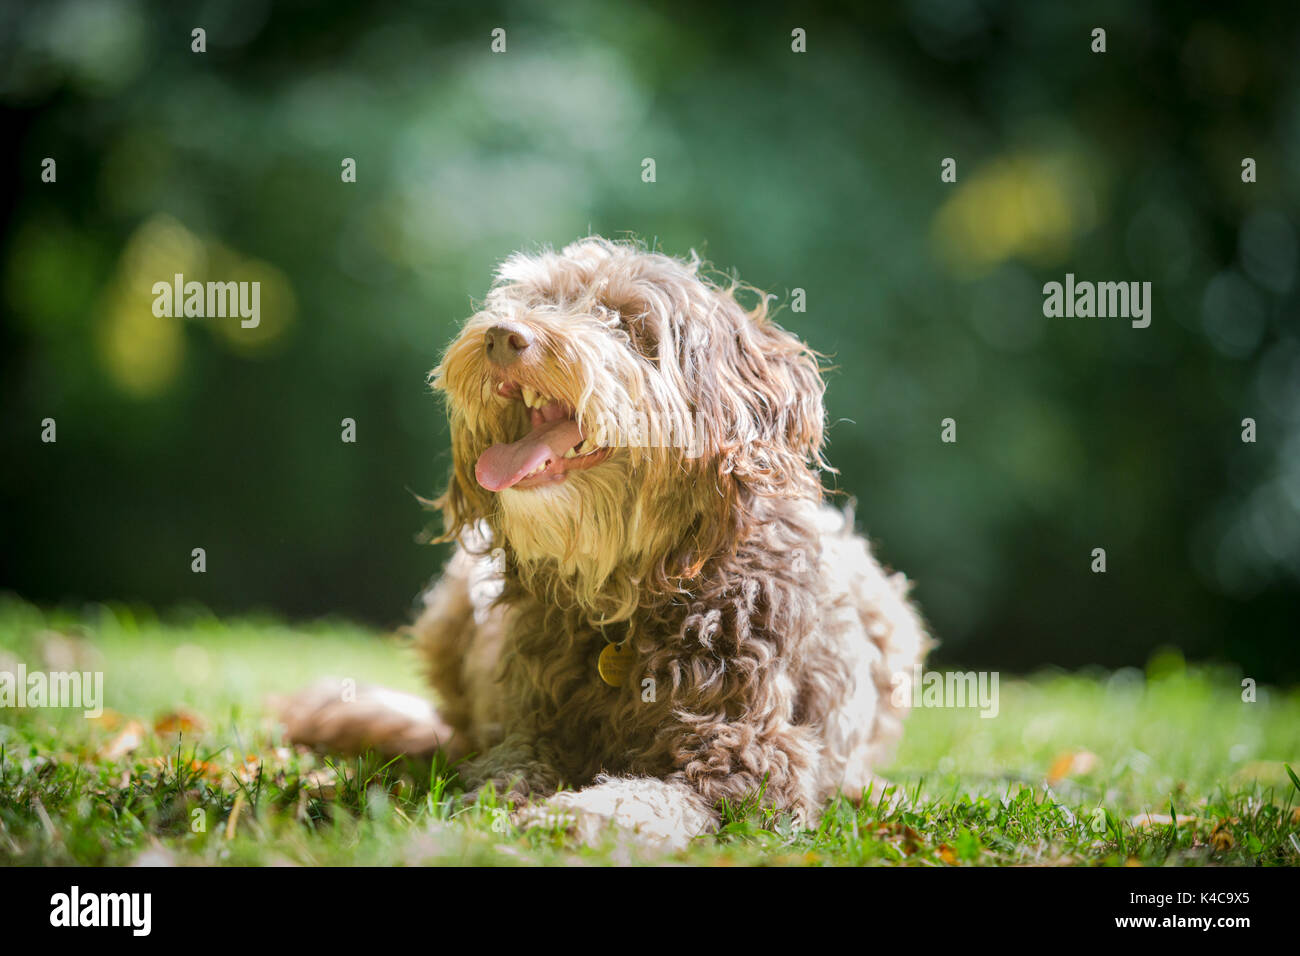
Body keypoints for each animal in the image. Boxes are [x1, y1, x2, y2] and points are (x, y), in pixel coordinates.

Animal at [283, 239, 930, 853]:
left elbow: (646, 797)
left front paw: (572, 816)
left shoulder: (748, 761)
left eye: (628, 322)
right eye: (538, 298)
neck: (635, 595)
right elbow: (498, 775)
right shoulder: (529, 731)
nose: (502, 336)